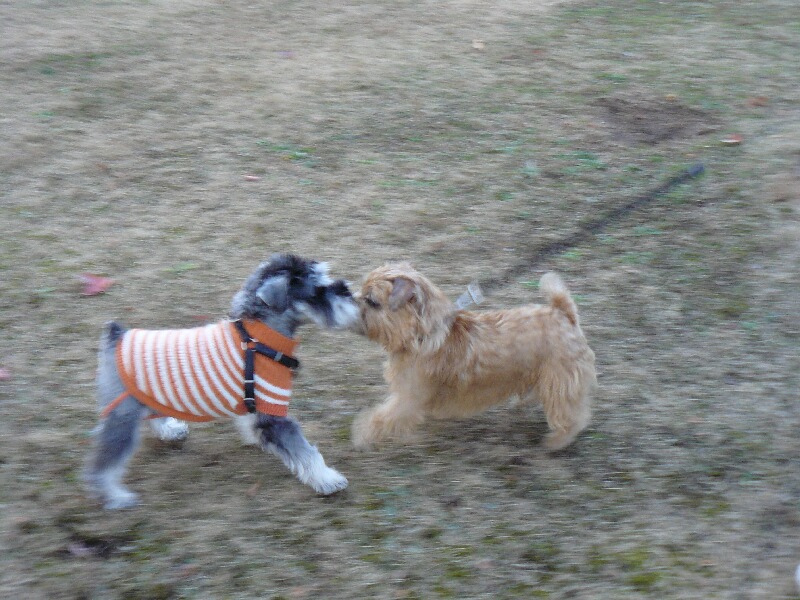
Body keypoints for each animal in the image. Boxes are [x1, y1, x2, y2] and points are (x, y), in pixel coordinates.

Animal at [85, 253, 359, 509]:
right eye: (318, 289)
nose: (352, 294)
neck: (258, 339)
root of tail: (116, 335)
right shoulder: (274, 413)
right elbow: (305, 452)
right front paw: (329, 480)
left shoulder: (255, 403)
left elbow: (250, 422)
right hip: (122, 416)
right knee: (103, 465)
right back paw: (116, 496)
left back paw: (171, 431)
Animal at [351, 263, 596, 451]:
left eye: (371, 301)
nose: (348, 301)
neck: (423, 336)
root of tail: (564, 314)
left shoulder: (408, 399)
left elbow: (381, 418)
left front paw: (361, 434)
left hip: (560, 380)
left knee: (569, 415)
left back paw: (556, 441)